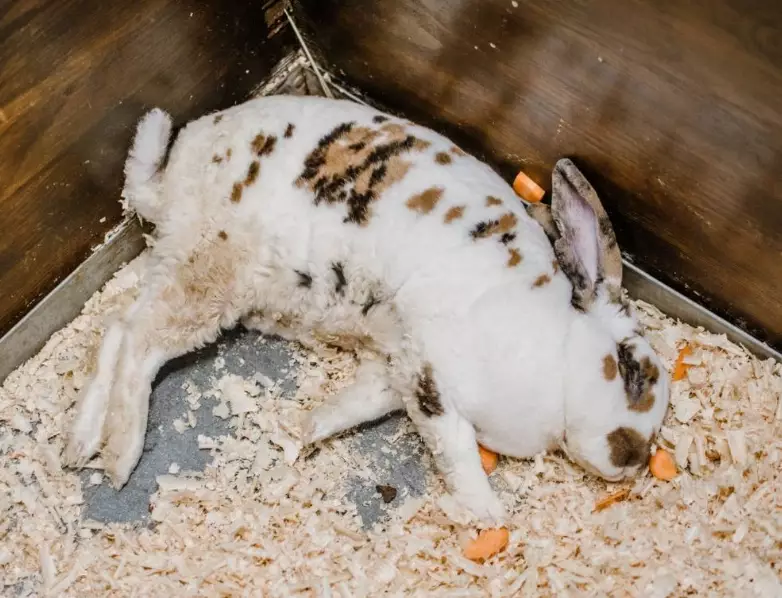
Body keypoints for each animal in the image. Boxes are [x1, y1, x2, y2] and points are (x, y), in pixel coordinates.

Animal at [64, 94, 670, 526]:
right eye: (632, 370)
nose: (631, 458)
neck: (556, 353)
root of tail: (172, 182)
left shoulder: (394, 370)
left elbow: (350, 407)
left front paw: (296, 432)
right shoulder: (430, 378)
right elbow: (457, 451)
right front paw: (487, 515)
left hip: (182, 266)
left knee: (117, 326)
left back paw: (79, 444)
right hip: (214, 277)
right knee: (139, 343)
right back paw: (119, 455)